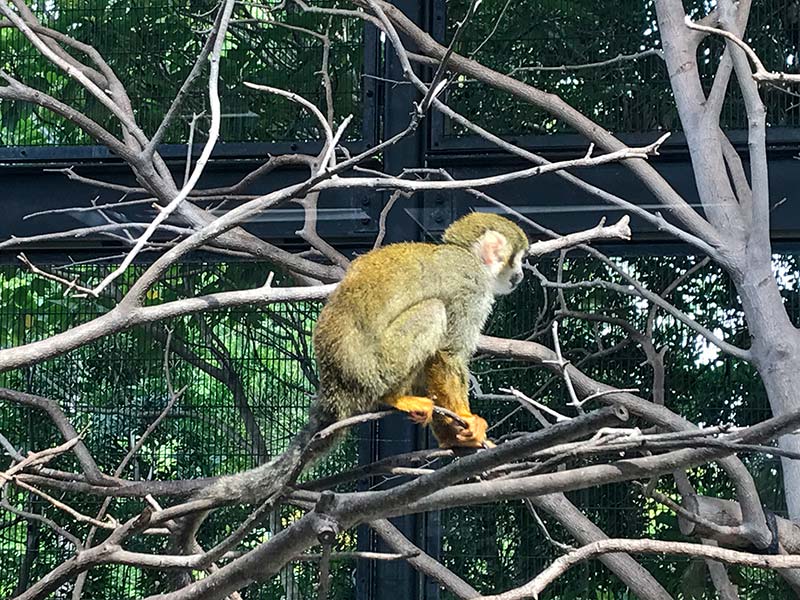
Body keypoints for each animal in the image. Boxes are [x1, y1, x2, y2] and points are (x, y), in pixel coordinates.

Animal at [314, 213, 532, 448]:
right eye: (517, 260)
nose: (520, 275)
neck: (469, 256)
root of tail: (334, 384)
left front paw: (451, 437)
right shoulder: (472, 287)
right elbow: (448, 353)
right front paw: (466, 418)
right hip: (374, 369)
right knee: (434, 310)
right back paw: (393, 398)